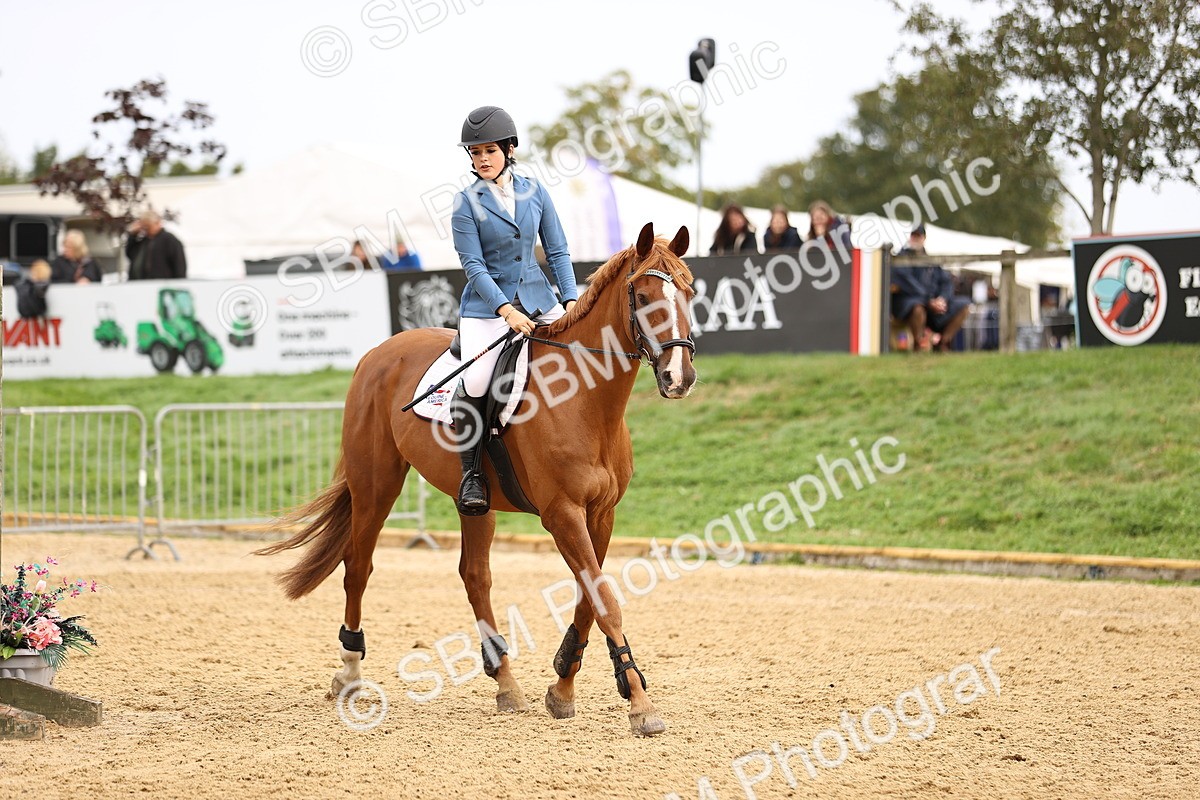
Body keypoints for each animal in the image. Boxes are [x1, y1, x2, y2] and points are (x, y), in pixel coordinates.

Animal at [256, 222, 697, 736]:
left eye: (689, 292)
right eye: (644, 297)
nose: (679, 377)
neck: (585, 402)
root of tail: (378, 352)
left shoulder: (601, 514)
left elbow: (590, 599)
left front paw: (563, 687)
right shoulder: (562, 514)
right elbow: (604, 599)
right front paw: (640, 705)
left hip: (474, 502)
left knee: (475, 577)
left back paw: (505, 681)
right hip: (376, 486)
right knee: (358, 568)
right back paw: (349, 670)